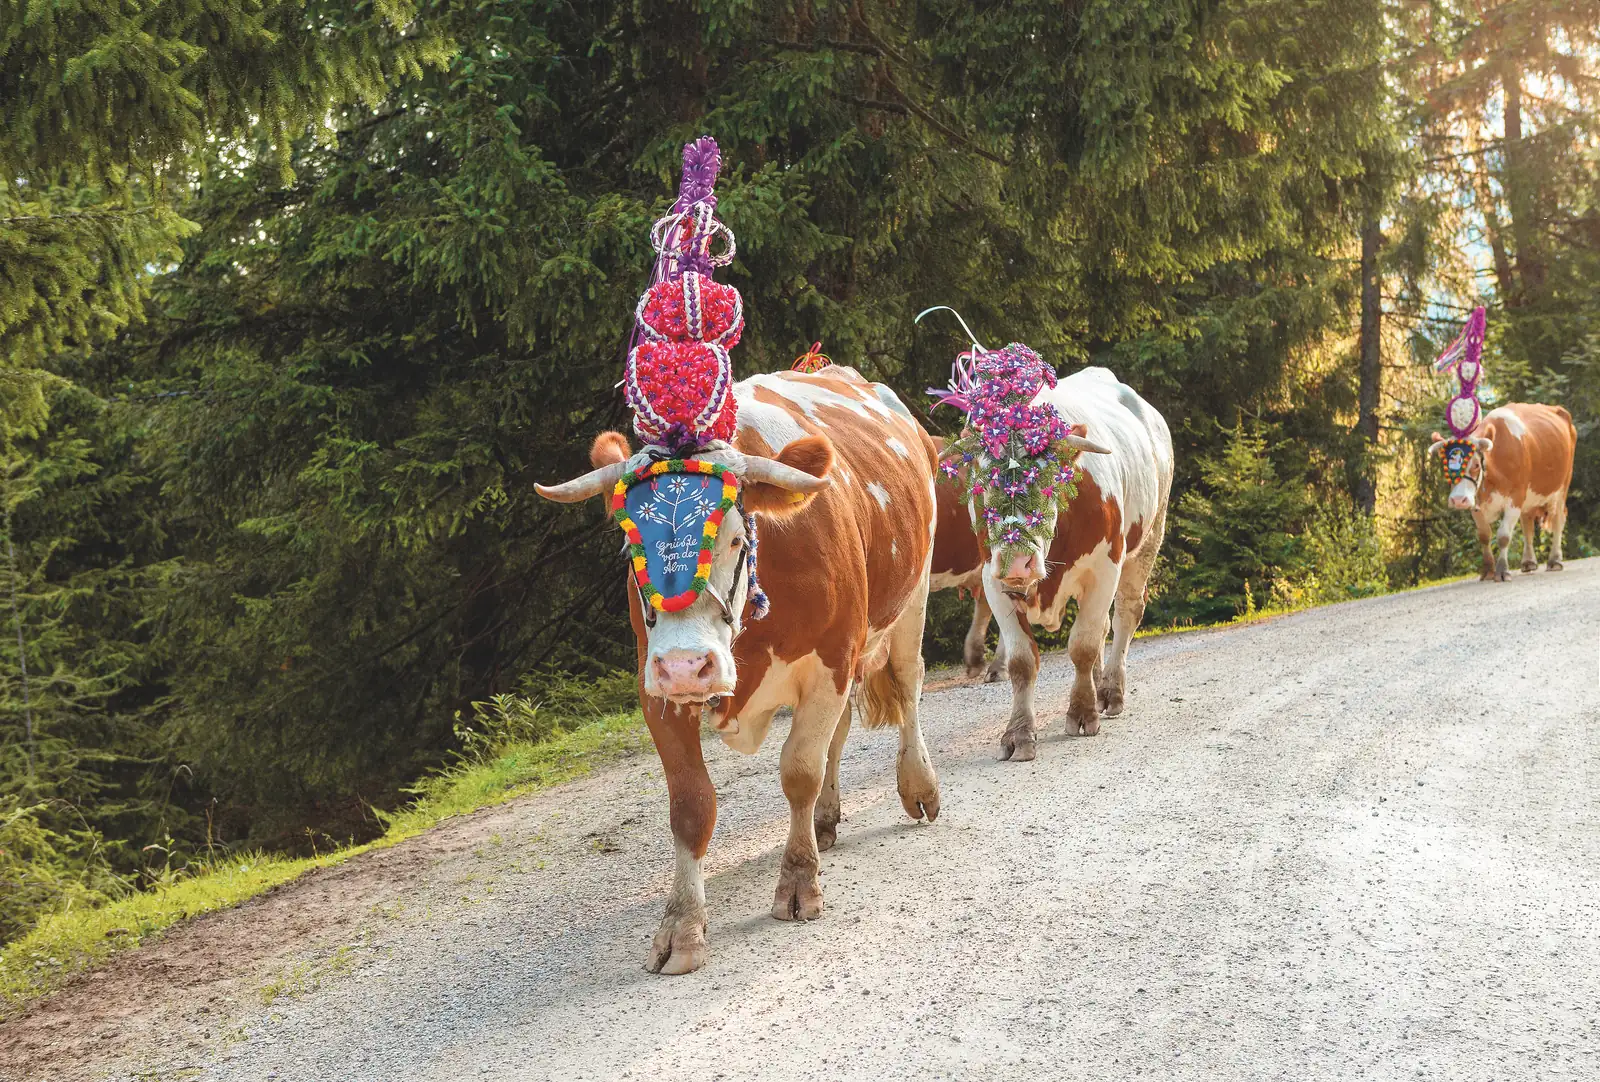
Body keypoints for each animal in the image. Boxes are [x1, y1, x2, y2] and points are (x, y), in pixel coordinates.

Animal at [536, 366, 942, 975]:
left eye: (733, 537)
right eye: (630, 544)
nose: (687, 666)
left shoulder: (832, 657)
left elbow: (799, 770)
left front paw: (798, 883)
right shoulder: (652, 683)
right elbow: (691, 804)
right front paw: (682, 925)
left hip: (912, 596)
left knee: (908, 684)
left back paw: (917, 785)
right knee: (842, 731)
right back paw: (826, 819)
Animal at [931, 365, 1173, 761]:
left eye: (1047, 481)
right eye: (983, 484)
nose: (1017, 563)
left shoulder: (1105, 568)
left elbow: (1083, 645)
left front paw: (1083, 712)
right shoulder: (991, 578)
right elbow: (1022, 660)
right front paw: (1018, 733)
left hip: (1150, 536)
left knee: (1125, 614)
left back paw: (1110, 692)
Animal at [1430, 403, 1577, 581]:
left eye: (1476, 465)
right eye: (1445, 466)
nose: (1458, 500)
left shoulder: (1515, 498)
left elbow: (1503, 536)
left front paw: (1502, 571)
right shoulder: (1476, 503)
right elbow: (1484, 535)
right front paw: (1488, 571)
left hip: (1562, 485)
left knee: (1558, 518)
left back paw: (1554, 560)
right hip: (1529, 497)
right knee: (1527, 522)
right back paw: (1528, 561)